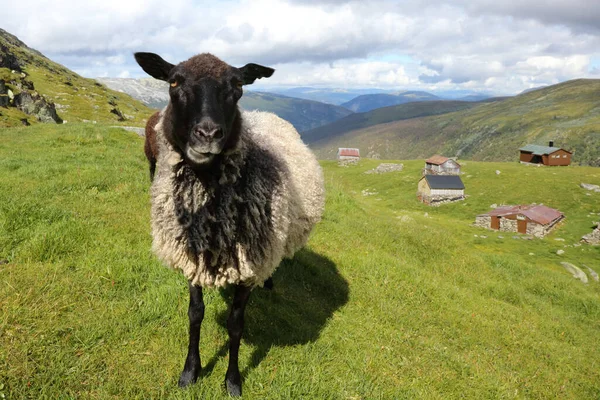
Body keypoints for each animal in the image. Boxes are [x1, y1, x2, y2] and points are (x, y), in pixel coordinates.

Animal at [134, 50, 326, 396]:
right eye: (174, 82)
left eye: (237, 85)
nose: (208, 134)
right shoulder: (191, 256)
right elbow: (195, 314)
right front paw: (190, 372)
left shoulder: (249, 265)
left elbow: (236, 325)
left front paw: (232, 381)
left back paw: (270, 281)